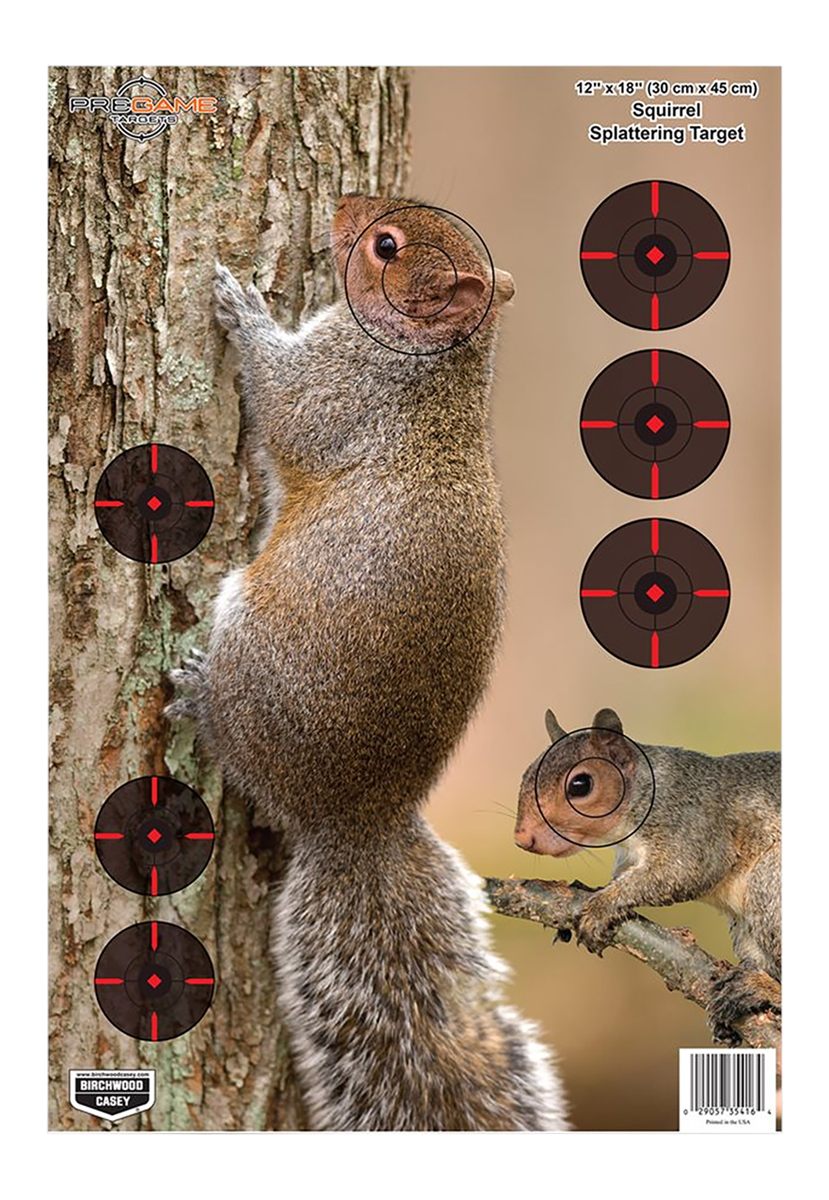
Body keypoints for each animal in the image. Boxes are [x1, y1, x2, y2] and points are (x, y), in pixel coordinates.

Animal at [169, 195, 567, 1130]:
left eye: (387, 246)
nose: (343, 210)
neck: (437, 367)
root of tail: (356, 819)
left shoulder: (337, 391)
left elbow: (281, 403)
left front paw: (242, 308)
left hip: (254, 650)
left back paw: (197, 697)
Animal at [514, 707, 780, 1044]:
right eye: (526, 774)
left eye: (580, 785)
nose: (522, 838)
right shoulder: (629, 857)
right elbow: (622, 876)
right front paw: (589, 891)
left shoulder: (694, 826)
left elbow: (683, 871)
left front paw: (601, 907)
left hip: (769, 883)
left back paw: (763, 990)